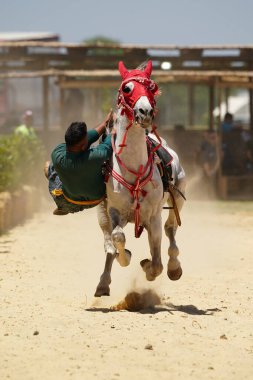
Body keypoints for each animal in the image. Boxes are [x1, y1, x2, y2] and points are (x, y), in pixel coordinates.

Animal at [94, 60, 185, 296]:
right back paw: (103, 282)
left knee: (170, 230)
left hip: (178, 196)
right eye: (127, 88)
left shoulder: (153, 216)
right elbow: (117, 238)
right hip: (102, 213)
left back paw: (174, 266)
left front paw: (149, 267)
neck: (133, 168)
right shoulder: (114, 212)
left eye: (152, 87)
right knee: (108, 243)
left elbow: (157, 262)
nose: (145, 112)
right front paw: (125, 256)